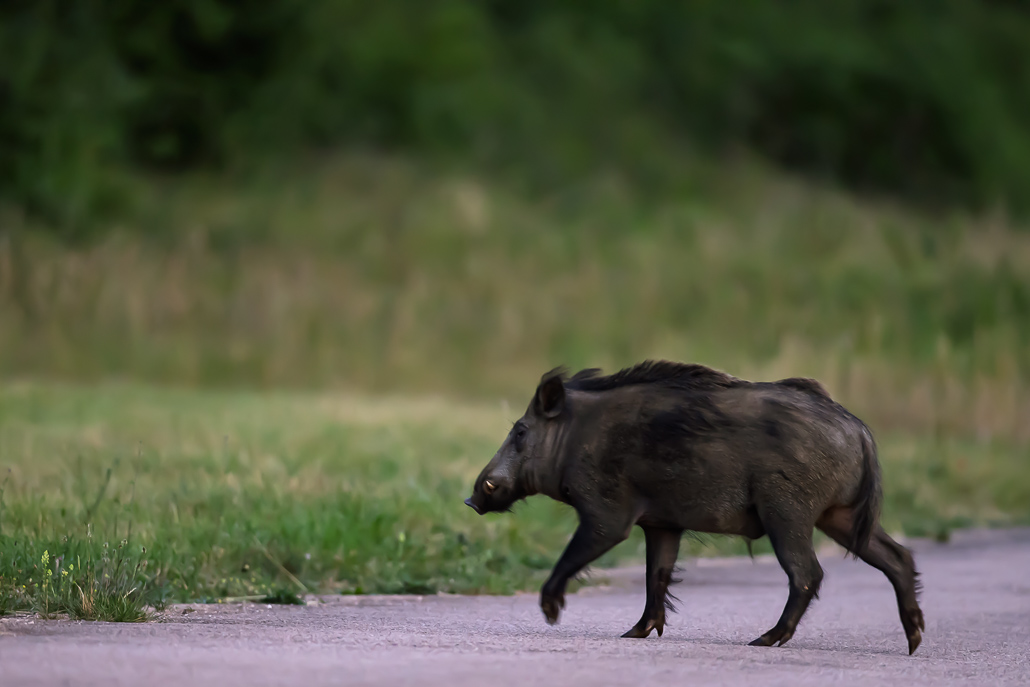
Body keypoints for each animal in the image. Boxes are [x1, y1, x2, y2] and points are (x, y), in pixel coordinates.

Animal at [465, 361, 924, 654]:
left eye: (520, 431)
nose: (471, 498)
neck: (576, 438)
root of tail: (860, 431)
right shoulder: (662, 523)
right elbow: (657, 573)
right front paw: (633, 634)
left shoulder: (608, 512)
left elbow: (580, 552)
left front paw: (551, 612)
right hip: (839, 516)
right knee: (897, 556)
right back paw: (914, 641)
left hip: (789, 510)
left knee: (808, 572)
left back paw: (764, 640)